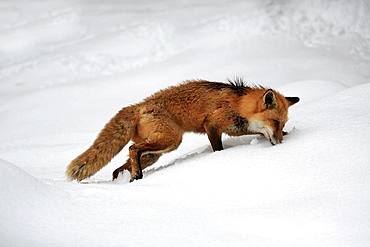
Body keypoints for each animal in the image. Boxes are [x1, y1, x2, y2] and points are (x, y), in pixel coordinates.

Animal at [66, 79, 298, 181]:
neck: (238, 105)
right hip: (170, 141)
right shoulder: (212, 125)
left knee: (120, 166)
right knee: (132, 149)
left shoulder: (236, 127)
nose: (280, 144)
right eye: (275, 122)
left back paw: (127, 178)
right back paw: (136, 176)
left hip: (155, 153)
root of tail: (139, 105)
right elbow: (218, 149)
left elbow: (255, 132)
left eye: (283, 124)